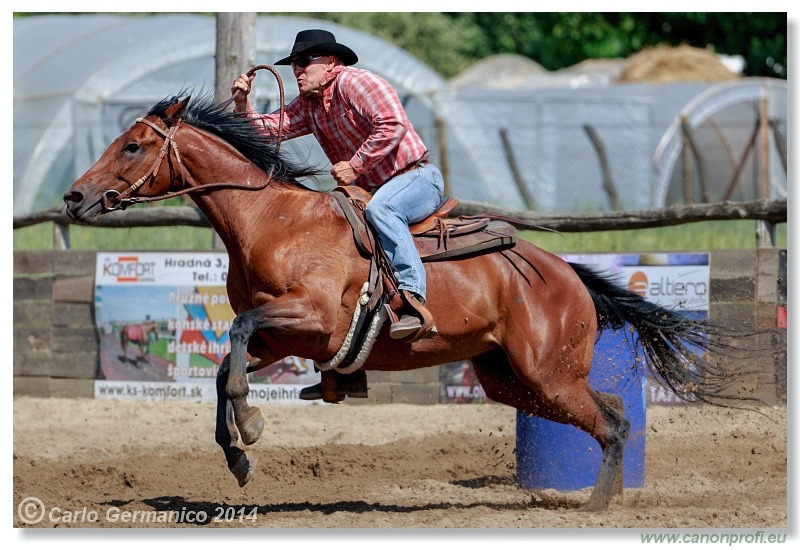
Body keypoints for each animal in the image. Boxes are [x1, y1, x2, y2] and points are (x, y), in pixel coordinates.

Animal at [64, 91, 764, 512]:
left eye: (132, 145)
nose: (74, 197)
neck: (274, 221)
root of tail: (565, 273)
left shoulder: (311, 319)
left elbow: (233, 336)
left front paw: (251, 426)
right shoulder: (282, 337)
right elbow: (223, 366)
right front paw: (237, 456)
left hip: (547, 372)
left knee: (612, 423)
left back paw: (594, 508)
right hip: (514, 378)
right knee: (613, 409)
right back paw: (608, 498)